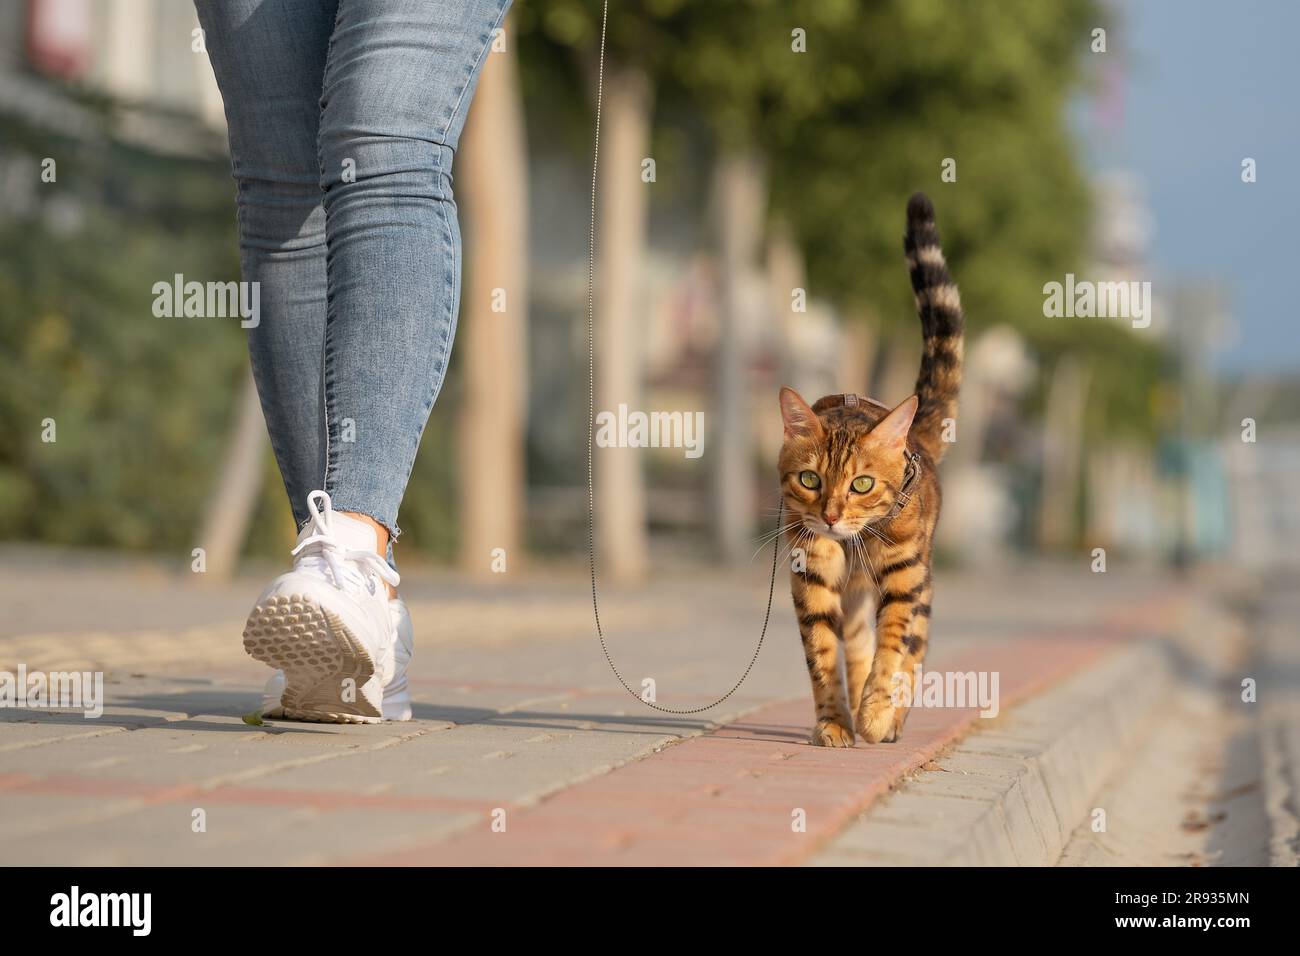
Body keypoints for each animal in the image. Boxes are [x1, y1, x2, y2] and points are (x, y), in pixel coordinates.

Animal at [774, 192, 961, 749]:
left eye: (862, 484)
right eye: (810, 480)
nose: (832, 517)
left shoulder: (905, 579)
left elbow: (894, 647)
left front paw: (878, 713)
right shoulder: (810, 575)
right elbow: (823, 656)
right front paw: (835, 722)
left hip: (921, 580)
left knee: (915, 648)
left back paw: (890, 720)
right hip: (853, 597)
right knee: (856, 642)